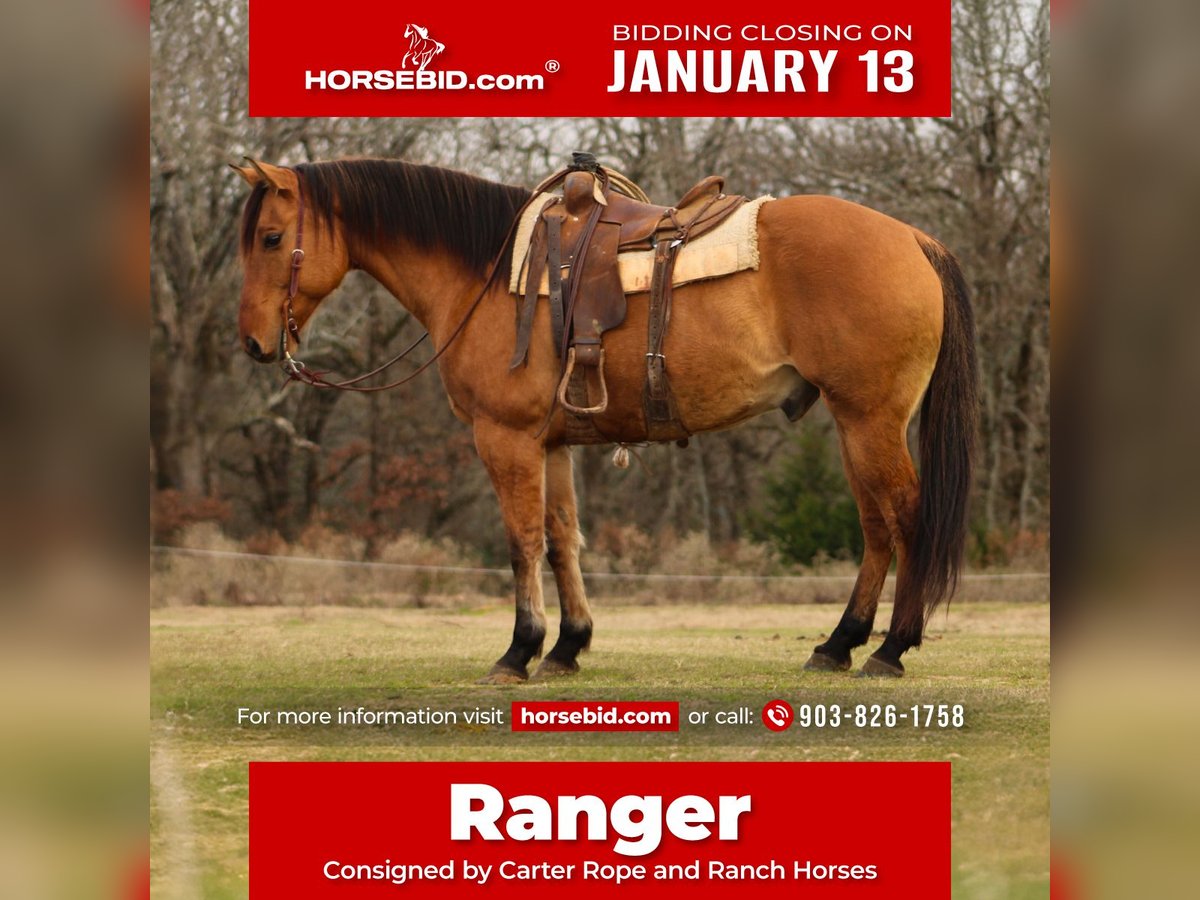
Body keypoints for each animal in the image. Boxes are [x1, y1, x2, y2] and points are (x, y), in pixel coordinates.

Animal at [231, 154, 974, 681]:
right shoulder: (553, 444)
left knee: (906, 517)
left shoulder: (505, 439)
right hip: (855, 425)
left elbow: (522, 542)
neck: (482, 273)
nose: (254, 344)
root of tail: (914, 238)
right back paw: (839, 643)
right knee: (876, 527)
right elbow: (563, 539)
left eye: (270, 238)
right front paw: (568, 646)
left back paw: (891, 647)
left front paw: (519, 650)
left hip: (871, 421)